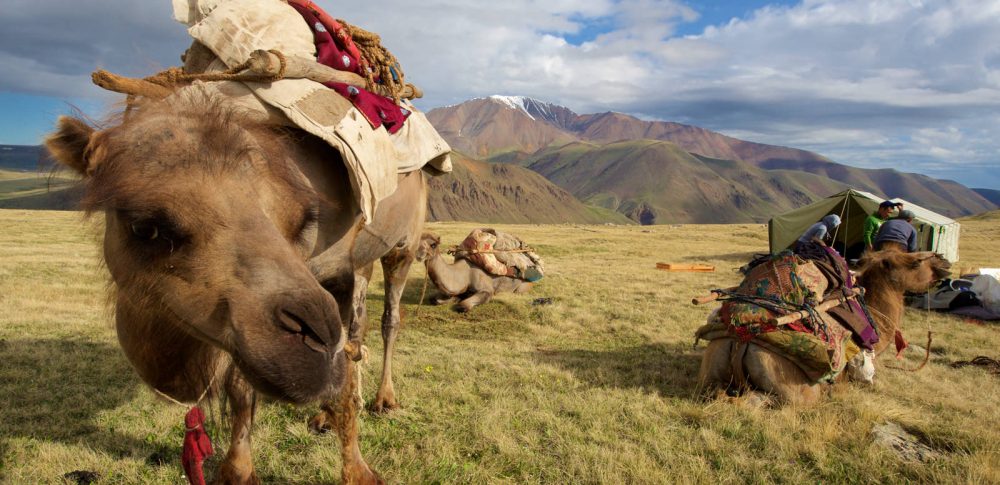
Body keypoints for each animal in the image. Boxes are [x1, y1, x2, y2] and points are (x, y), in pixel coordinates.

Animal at [46, 92, 426, 482]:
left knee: (386, 321)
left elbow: (344, 380)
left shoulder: (339, 271)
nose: (315, 341)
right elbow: (242, 385)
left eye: (303, 220)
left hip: (403, 247)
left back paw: (384, 399)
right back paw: (324, 414)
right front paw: (238, 470)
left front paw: (359, 472)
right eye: (145, 227)